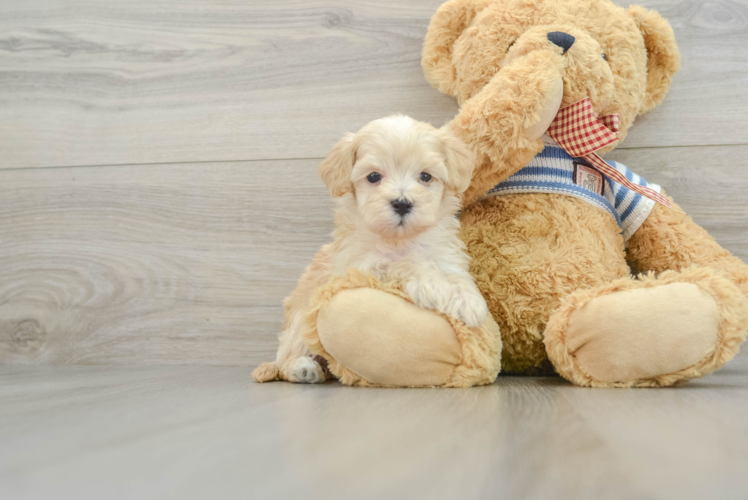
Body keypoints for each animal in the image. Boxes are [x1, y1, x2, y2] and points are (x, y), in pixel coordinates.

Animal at [258, 116, 488, 382]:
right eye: (374, 176)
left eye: (425, 176)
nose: (402, 203)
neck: (399, 239)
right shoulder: (360, 267)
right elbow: (402, 263)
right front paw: (432, 284)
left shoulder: (444, 255)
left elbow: (458, 276)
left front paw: (470, 301)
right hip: (300, 318)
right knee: (288, 357)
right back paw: (303, 368)